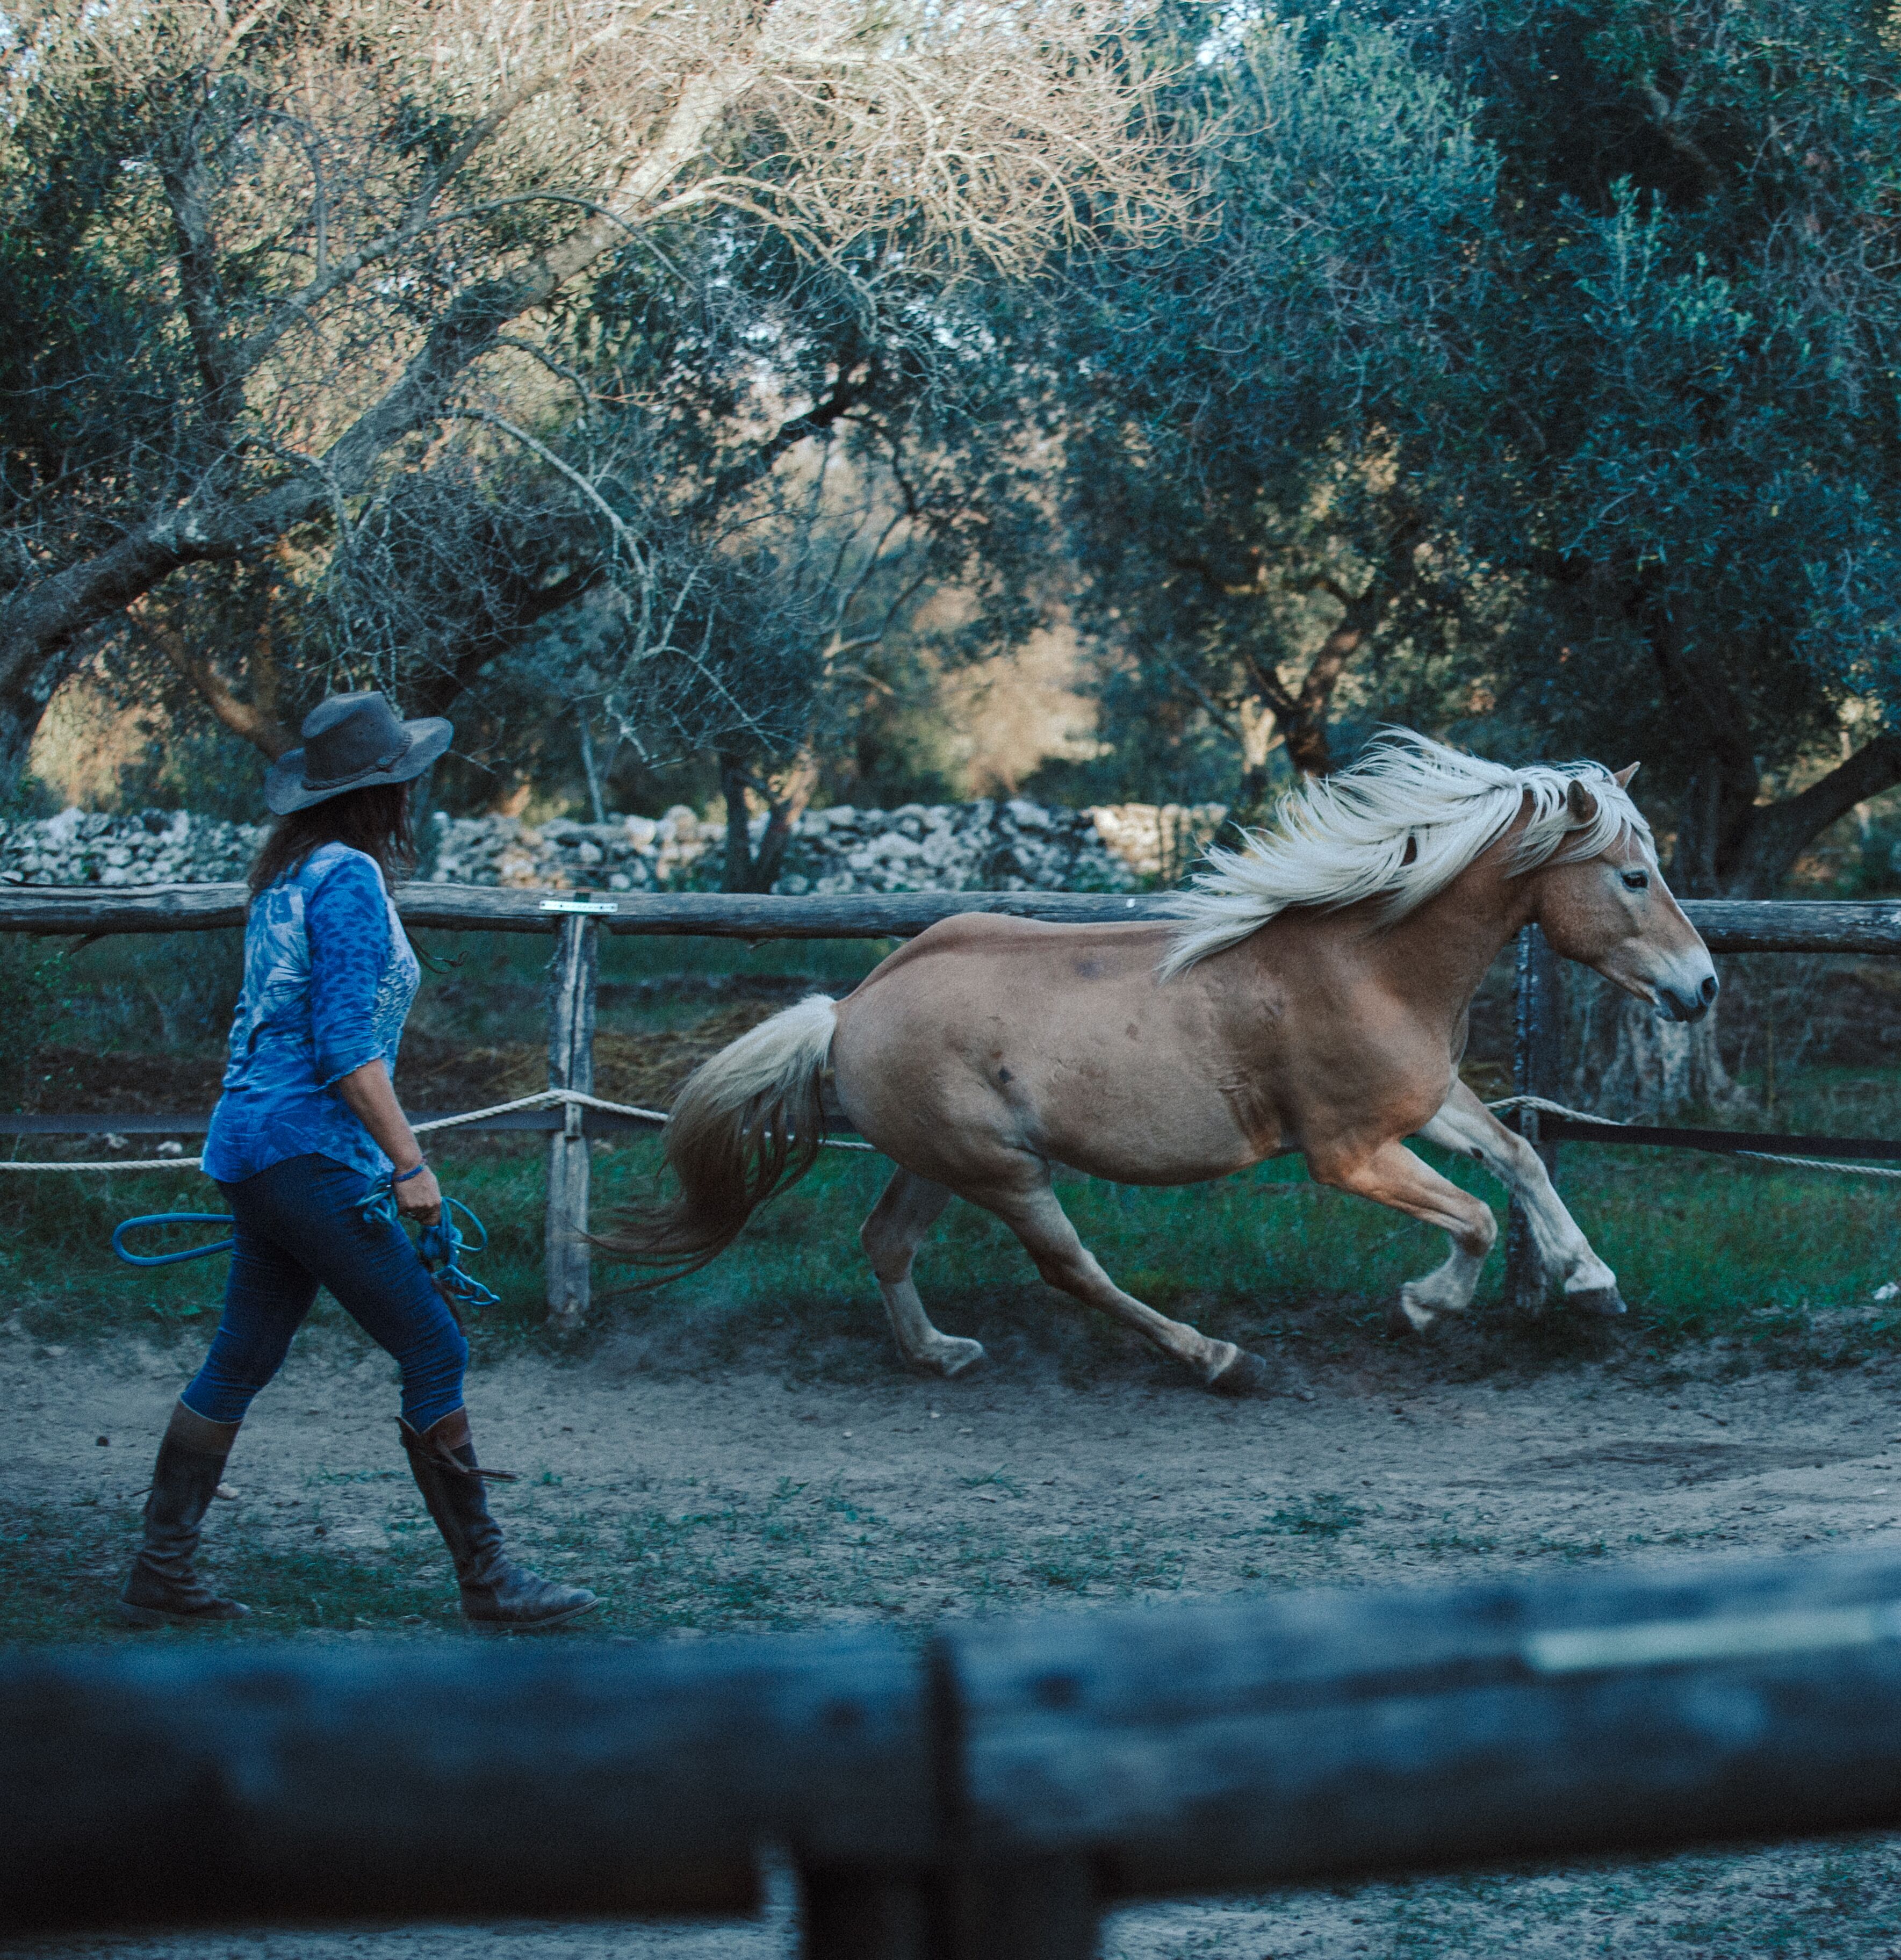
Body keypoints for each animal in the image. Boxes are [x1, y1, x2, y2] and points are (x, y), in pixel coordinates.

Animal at [601, 732, 1718, 1393]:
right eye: (1632, 875)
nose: (1700, 987)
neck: (1370, 961)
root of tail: (844, 1010)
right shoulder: (1346, 1151)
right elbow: (1477, 1216)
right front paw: (1425, 1305)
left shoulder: (1426, 1099)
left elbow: (1517, 1161)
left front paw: (1590, 1279)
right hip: (1004, 1171)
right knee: (1069, 1268)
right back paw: (1215, 1356)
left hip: (939, 1162)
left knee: (886, 1241)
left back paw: (938, 1352)